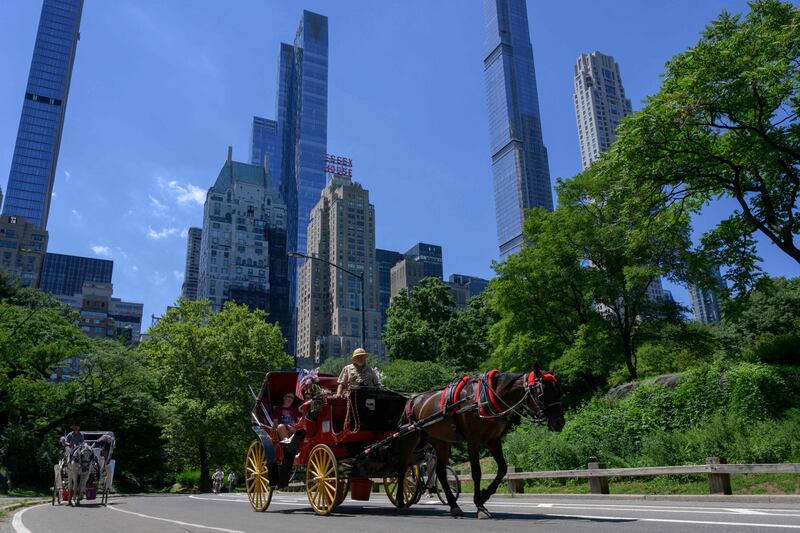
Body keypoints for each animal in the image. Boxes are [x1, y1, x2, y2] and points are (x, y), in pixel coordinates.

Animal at [394, 364, 564, 516]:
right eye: (542, 393)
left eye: (558, 391)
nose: (559, 423)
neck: (485, 398)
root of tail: (413, 399)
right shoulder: (473, 440)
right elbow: (476, 472)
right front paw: (479, 505)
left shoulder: (493, 440)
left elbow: (502, 468)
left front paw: (484, 495)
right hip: (410, 438)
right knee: (402, 468)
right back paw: (401, 502)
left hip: (439, 441)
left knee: (441, 472)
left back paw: (454, 505)